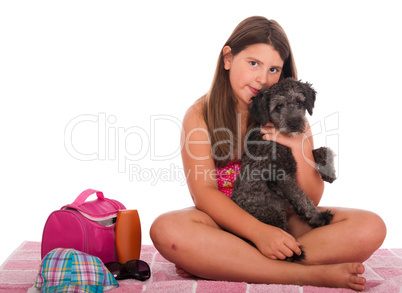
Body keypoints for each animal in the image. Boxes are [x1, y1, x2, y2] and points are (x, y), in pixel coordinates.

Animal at [229, 77, 336, 260]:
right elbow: (302, 199)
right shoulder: (281, 177)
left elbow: (323, 150)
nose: (295, 124)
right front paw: (318, 217)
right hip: (272, 216)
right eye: (278, 106)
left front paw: (329, 171)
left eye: (299, 102)